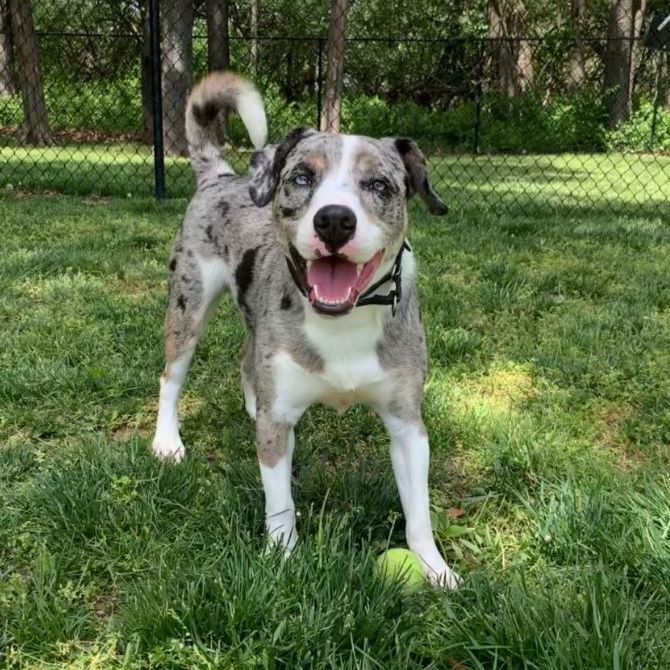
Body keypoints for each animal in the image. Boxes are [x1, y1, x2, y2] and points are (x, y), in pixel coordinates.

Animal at [154, 71, 462, 592]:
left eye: (379, 185)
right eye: (301, 177)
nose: (334, 219)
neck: (342, 320)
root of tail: (221, 176)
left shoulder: (407, 424)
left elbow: (418, 511)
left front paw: (434, 567)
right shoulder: (278, 428)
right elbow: (280, 505)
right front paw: (281, 559)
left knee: (246, 357)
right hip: (188, 305)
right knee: (171, 377)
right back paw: (166, 442)